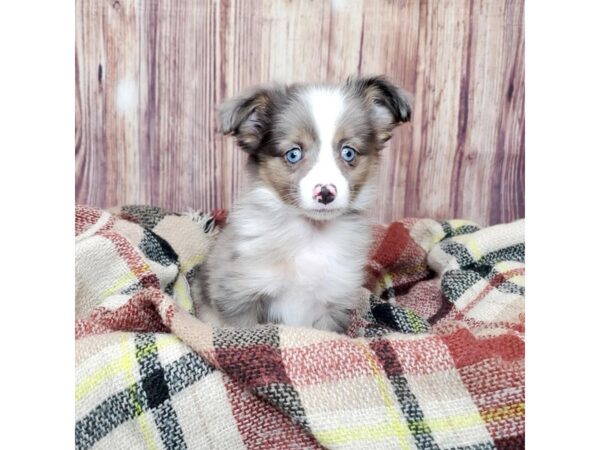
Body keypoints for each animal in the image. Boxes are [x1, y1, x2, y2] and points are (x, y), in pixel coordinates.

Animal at [192, 75, 412, 332]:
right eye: (293, 154)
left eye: (348, 153)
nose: (325, 193)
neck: (310, 236)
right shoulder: (241, 295)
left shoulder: (332, 305)